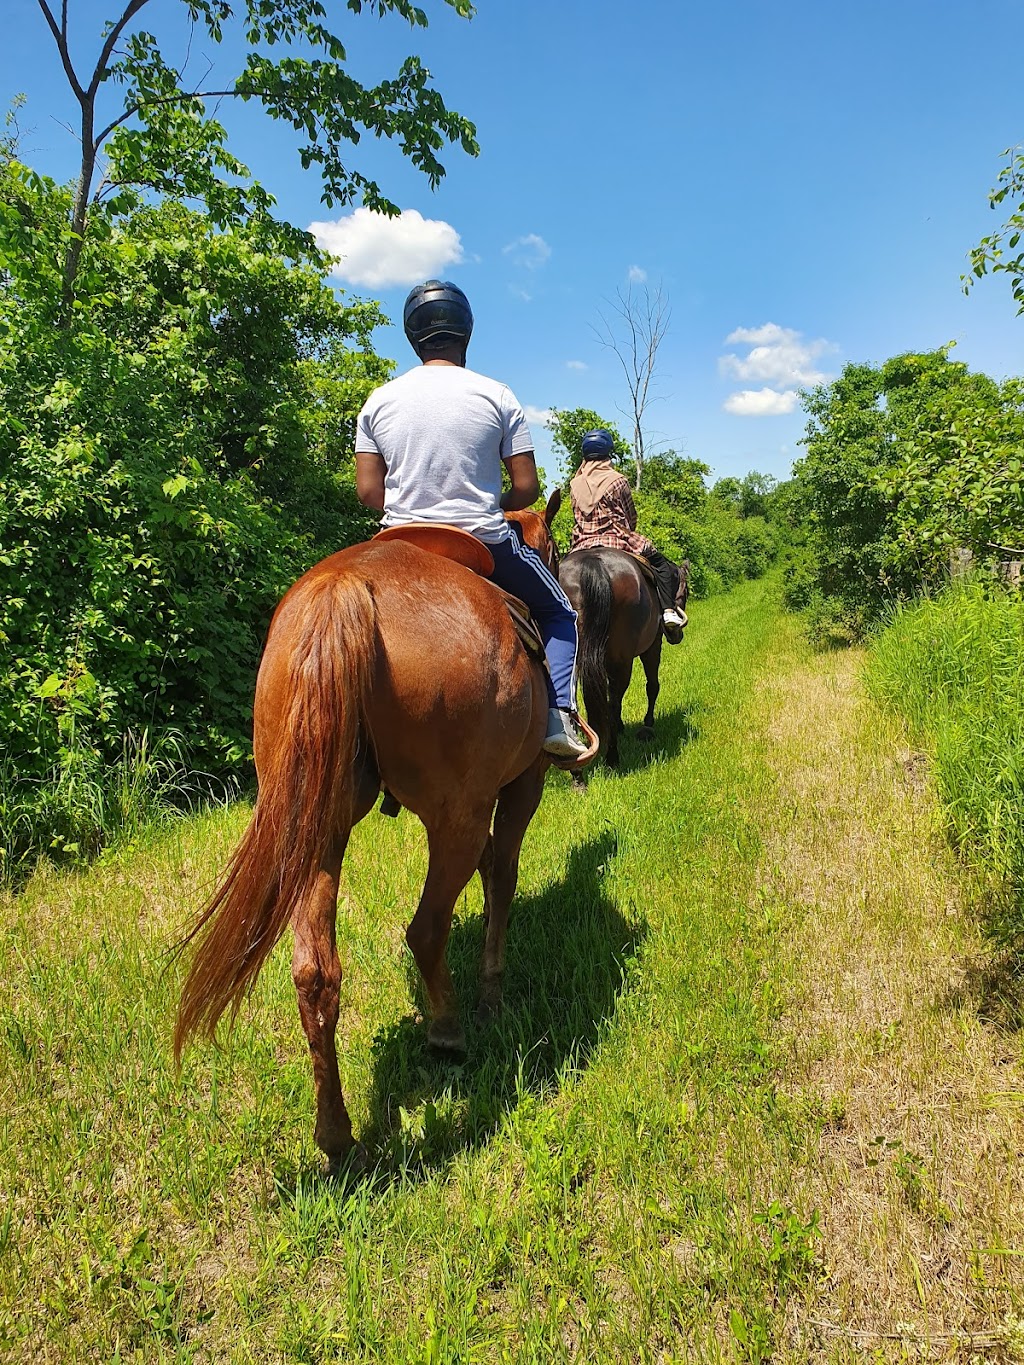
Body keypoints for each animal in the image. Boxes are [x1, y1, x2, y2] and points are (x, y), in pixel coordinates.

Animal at [178, 496, 573, 1168]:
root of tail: (343, 590)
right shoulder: (522, 784)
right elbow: (503, 874)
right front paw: (492, 989)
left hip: (316, 826)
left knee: (315, 973)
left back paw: (336, 1136)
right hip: (454, 817)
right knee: (426, 928)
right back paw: (448, 1031)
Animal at [557, 548, 693, 775]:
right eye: (687, 592)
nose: (677, 636)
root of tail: (593, 564)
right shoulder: (653, 646)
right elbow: (652, 686)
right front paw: (648, 724)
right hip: (622, 660)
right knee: (614, 700)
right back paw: (612, 757)